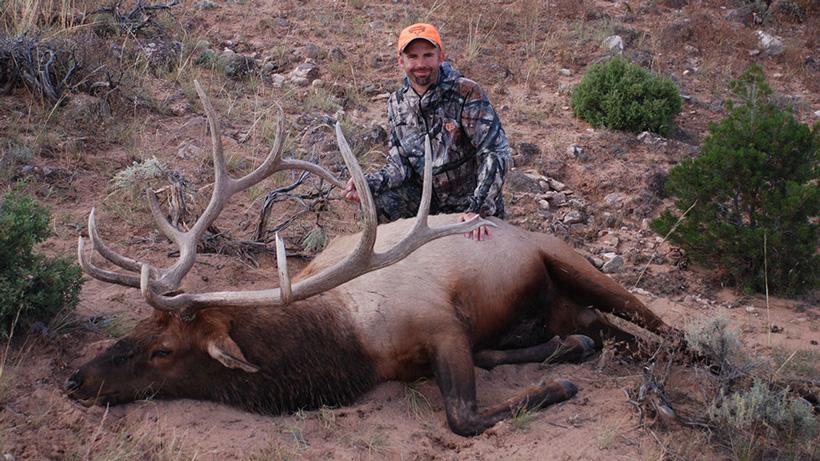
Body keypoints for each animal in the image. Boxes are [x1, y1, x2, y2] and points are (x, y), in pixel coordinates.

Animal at [65, 81, 677, 436]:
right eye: (140, 327)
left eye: (162, 350)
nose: (74, 380)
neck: (343, 347)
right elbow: (481, 376)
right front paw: (565, 360)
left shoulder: (441, 323)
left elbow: (463, 417)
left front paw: (560, 389)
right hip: (563, 305)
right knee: (589, 328)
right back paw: (577, 341)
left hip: (569, 260)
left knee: (663, 331)